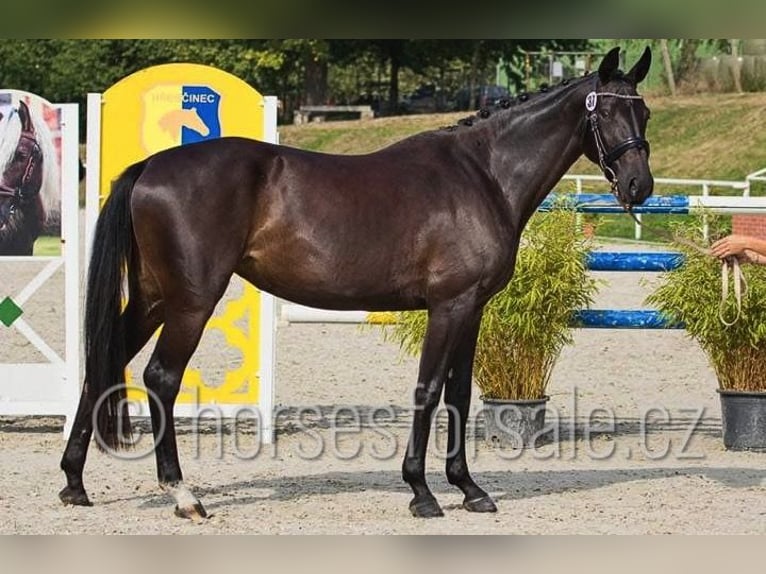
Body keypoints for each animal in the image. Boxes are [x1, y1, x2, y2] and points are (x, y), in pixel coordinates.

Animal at [60, 46, 654, 520]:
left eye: (643, 110)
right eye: (606, 110)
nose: (639, 185)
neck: (483, 175)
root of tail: (150, 166)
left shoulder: (473, 307)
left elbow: (460, 394)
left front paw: (469, 488)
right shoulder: (450, 305)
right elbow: (429, 390)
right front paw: (422, 492)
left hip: (154, 297)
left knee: (103, 361)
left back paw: (74, 482)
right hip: (191, 301)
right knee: (160, 377)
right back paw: (184, 496)